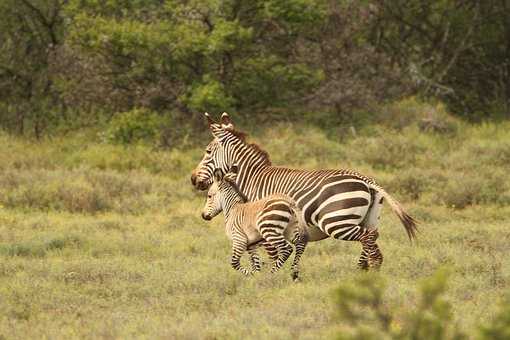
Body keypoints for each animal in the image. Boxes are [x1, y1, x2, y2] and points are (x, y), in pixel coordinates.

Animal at [192, 113, 418, 270]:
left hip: (335, 221)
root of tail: (366, 180)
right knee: (371, 238)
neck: (253, 180)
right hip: (368, 218)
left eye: (207, 151)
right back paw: (364, 271)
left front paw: (271, 280)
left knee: (367, 239)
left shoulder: (265, 225)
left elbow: (272, 255)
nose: (193, 179)